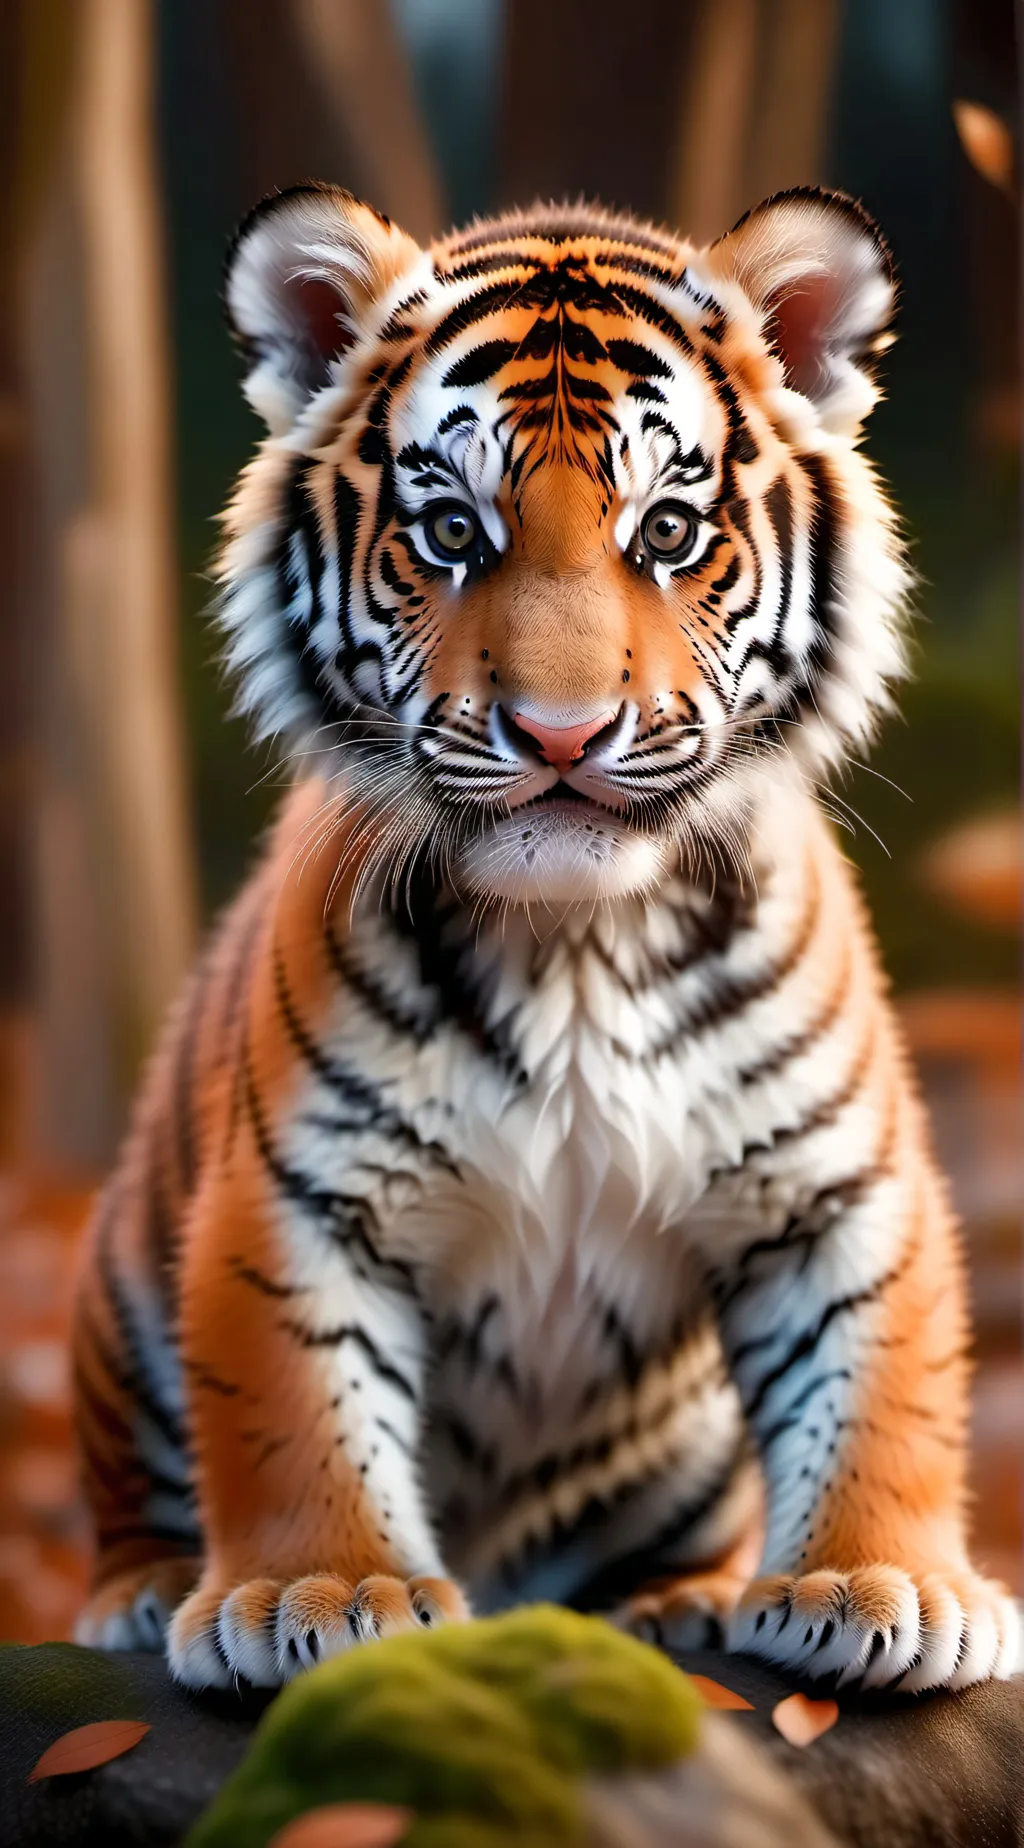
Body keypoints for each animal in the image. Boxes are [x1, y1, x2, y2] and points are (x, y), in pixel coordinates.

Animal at [70, 182, 1020, 1695]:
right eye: (453, 532)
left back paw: (678, 1602)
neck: (575, 942)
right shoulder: (297, 1195)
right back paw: (144, 1588)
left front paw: (886, 1585)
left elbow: (885, 1383)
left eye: (670, 531)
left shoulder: (838, 1183)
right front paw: (318, 1591)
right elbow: (290, 1399)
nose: (562, 736)